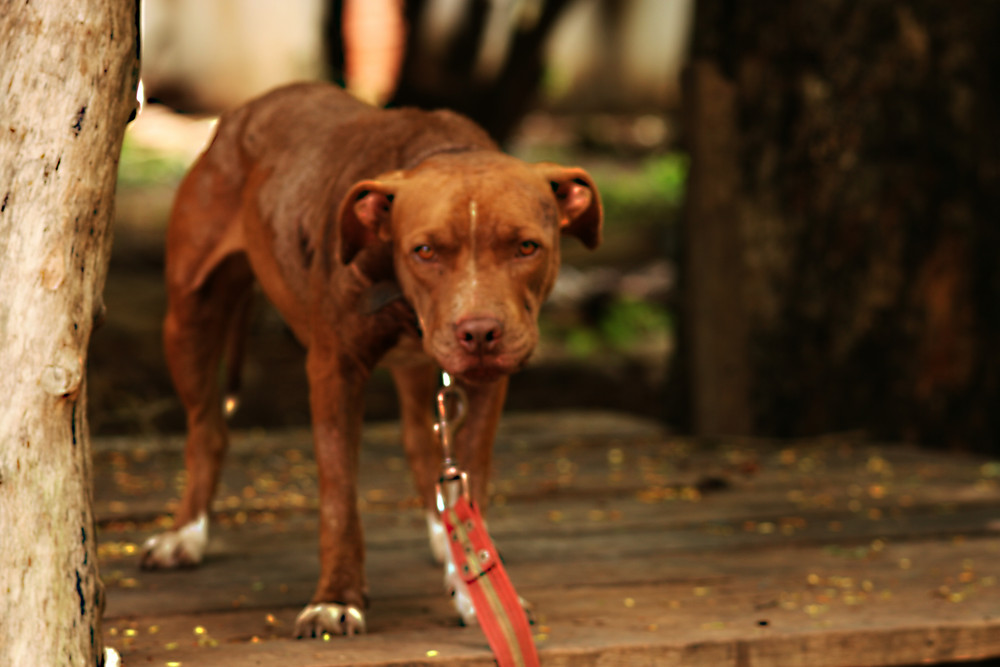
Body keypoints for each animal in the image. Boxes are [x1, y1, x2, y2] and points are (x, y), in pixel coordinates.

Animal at [140, 82, 600, 636]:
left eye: (527, 247)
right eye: (424, 250)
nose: (478, 332)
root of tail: (245, 111)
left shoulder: (486, 384)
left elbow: (470, 478)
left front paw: (478, 593)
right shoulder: (335, 370)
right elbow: (339, 498)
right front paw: (335, 599)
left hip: (418, 370)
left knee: (421, 445)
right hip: (190, 317)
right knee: (206, 430)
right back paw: (184, 535)